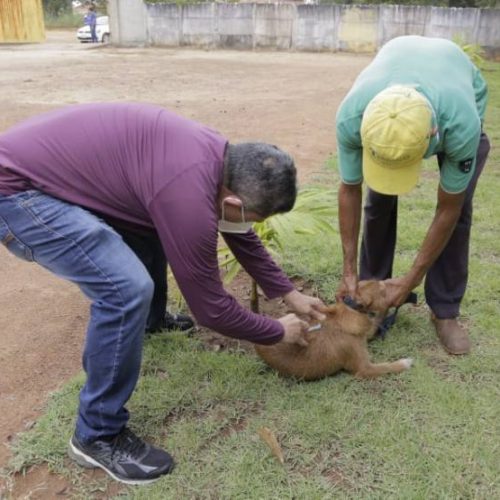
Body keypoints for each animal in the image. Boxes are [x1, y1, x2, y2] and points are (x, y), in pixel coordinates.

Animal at [256, 280, 412, 380]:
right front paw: (404, 363)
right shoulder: (364, 369)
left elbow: (375, 323)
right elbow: (387, 367)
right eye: (383, 292)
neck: (349, 310)